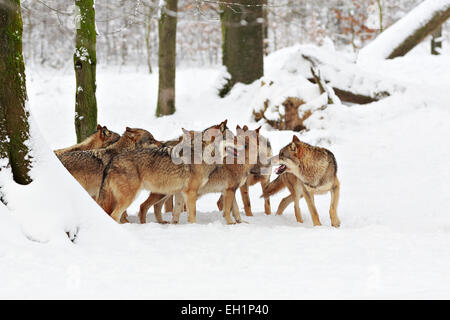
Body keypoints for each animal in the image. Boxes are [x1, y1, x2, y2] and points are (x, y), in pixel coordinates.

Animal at [98, 120, 232, 222]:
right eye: (233, 137)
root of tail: (112, 161)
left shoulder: (180, 193)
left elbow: (176, 215)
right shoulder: (191, 193)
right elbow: (192, 216)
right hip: (129, 197)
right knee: (115, 215)